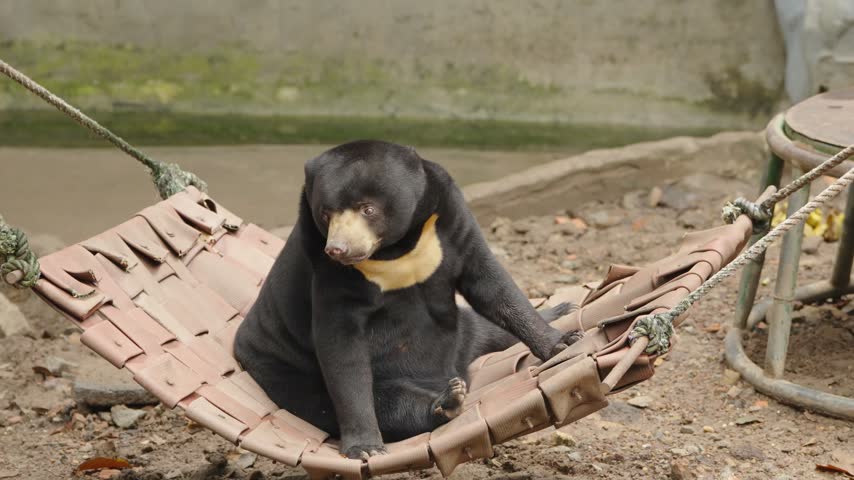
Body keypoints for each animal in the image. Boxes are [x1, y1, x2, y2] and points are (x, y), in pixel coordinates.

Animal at [234, 140, 579, 460]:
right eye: (325, 213)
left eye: (368, 208)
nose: (338, 249)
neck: (395, 249)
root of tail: (457, 368)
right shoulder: (327, 274)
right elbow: (342, 352)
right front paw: (365, 447)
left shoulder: (452, 220)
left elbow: (491, 286)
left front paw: (561, 341)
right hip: (292, 376)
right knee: (389, 405)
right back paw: (447, 402)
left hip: (462, 333)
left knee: (483, 328)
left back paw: (564, 310)